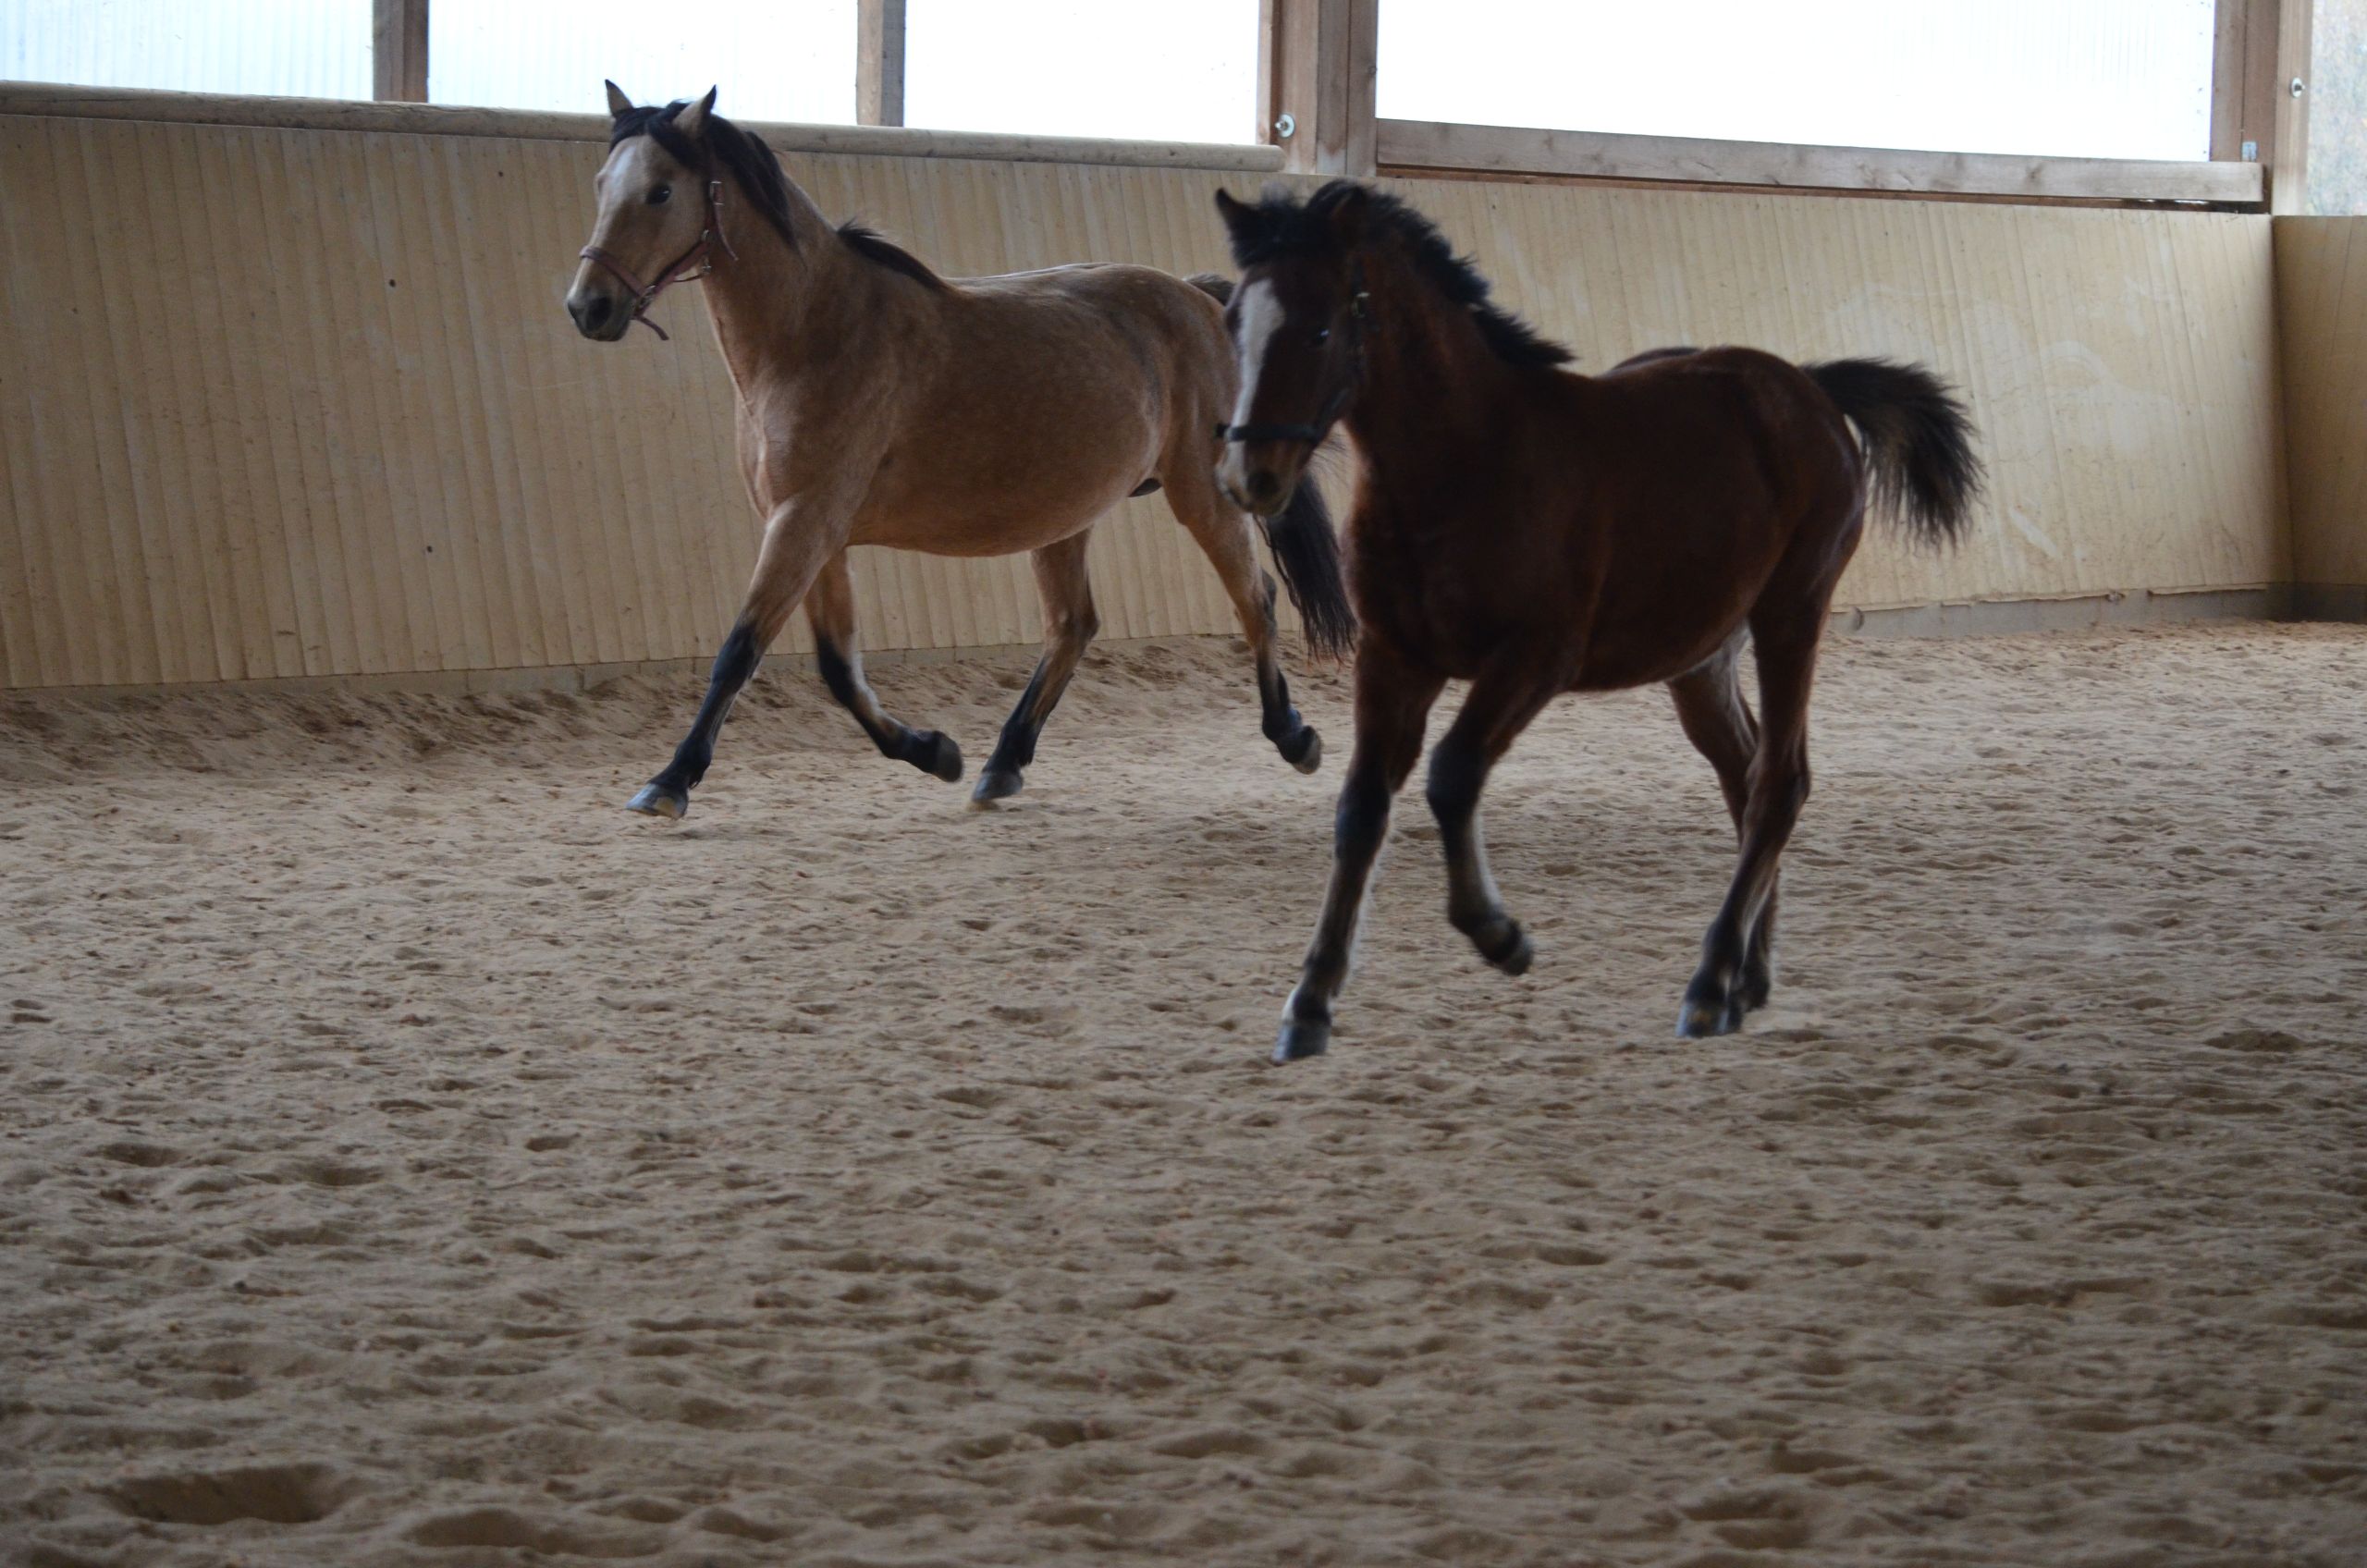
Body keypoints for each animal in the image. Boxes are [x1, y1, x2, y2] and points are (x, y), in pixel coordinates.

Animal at [565, 86, 1356, 818]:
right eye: (602, 184)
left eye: (661, 190)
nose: (588, 306)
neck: (814, 333)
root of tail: (1200, 302)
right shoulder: (817, 532)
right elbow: (838, 667)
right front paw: (934, 751)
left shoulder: (804, 521)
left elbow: (740, 649)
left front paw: (669, 781)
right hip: (1065, 516)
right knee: (1072, 626)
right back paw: (1001, 764)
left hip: (1202, 497)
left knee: (1255, 598)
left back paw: (1295, 737)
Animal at [1211, 181, 1983, 1062]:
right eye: (1233, 321)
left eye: (1320, 328)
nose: (1250, 477)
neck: (1464, 462)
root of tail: (1808, 388)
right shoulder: (1395, 658)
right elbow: (1361, 808)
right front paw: (1309, 1003)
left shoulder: (1534, 659)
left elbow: (1451, 775)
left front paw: (1500, 935)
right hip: (1700, 658)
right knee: (1744, 773)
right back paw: (1748, 978)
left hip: (1793, 612)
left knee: (1780, 781)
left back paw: (1710, 984)